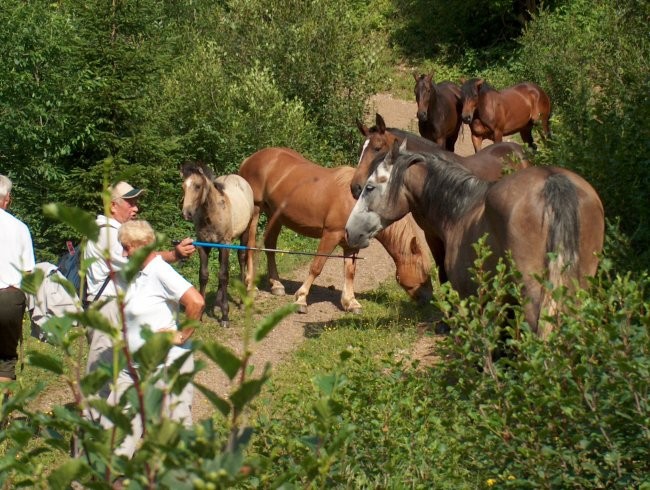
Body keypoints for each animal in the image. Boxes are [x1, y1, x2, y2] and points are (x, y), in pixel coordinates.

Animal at [182, 161, 256, 328]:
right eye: (183, 186)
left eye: (197, 186)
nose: (186, 213)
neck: (212, 213)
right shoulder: (203, 245)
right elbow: (204, 275)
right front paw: (201, 314)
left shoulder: (225, 244)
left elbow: (223, 276)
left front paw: (225, 316)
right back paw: (217, 303)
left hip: (244, 233)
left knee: (241, 258)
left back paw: (241, 302)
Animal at [237, 146, 430, 314]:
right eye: (423, 270)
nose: (427, 301)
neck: (358, 205)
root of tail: (250, 159)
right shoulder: (331, 235)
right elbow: (316, 267)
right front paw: (301, 299)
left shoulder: (352, 243)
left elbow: (350, 272)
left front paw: (351, 302)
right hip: (256, 210)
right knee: (251, 246)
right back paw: (250, 285)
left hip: (275, 215)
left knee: (270, 245)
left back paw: (276, 285)